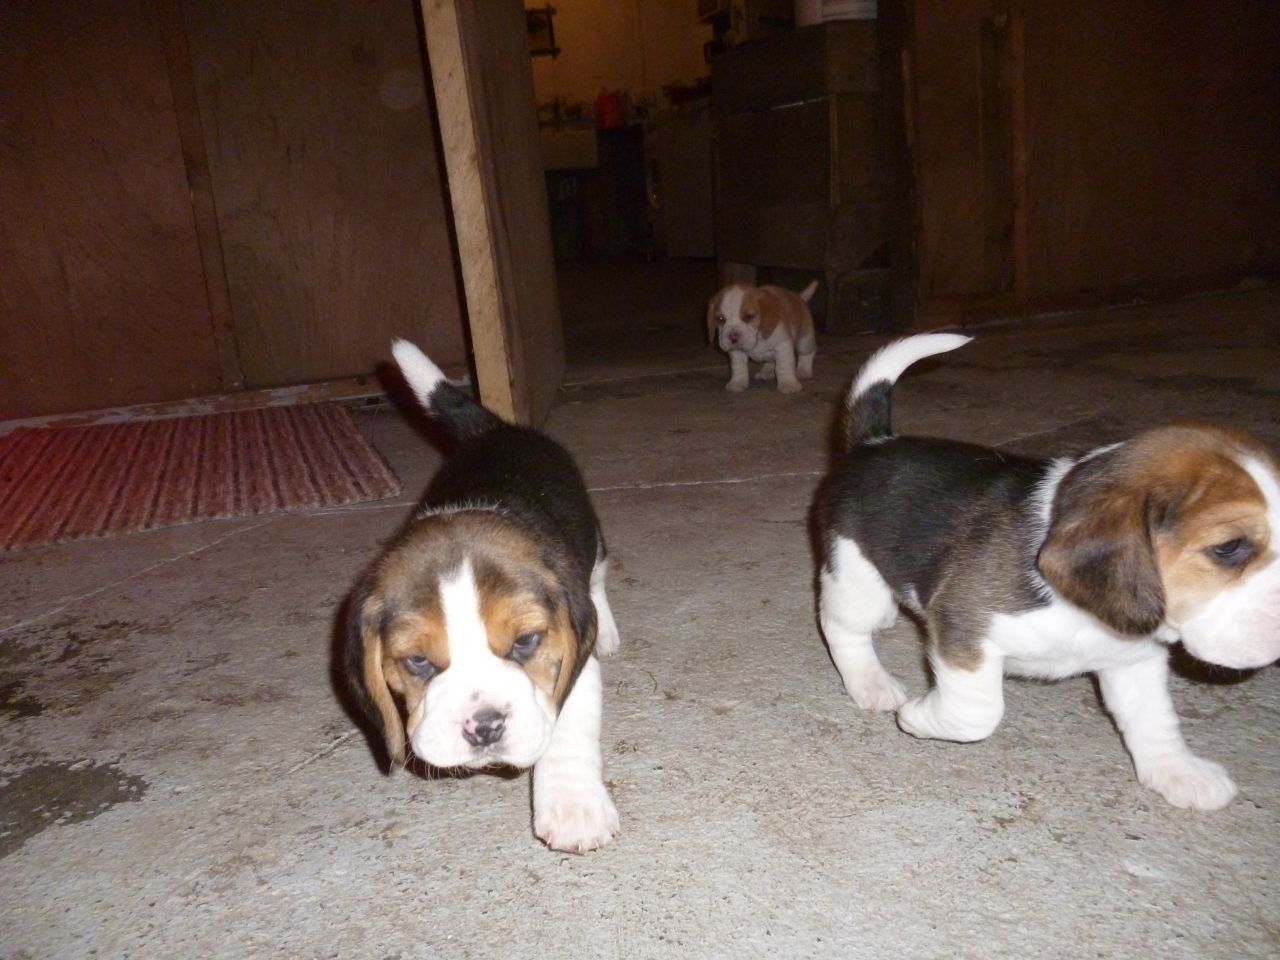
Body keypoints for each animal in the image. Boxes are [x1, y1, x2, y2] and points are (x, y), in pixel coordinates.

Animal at [340, 343, 619, 855]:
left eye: (525, 642)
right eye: (417, 661)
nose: (484, 726)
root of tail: (497, 430)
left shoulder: (574, 660)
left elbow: (567, 726)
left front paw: (573, 808)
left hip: (593, 539)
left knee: (597, 579)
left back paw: (607, 629)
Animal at [819, 335, 1280, 808]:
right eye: (1228, 548)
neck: (1085, 613)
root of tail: (875, 443)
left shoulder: (1134, 660)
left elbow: (1155, 721)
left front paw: (1180, 773)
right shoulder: (966, 628)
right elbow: (979, 712)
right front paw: (919, 716)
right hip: (855, 579)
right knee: (842, 629)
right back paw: (871, 683)